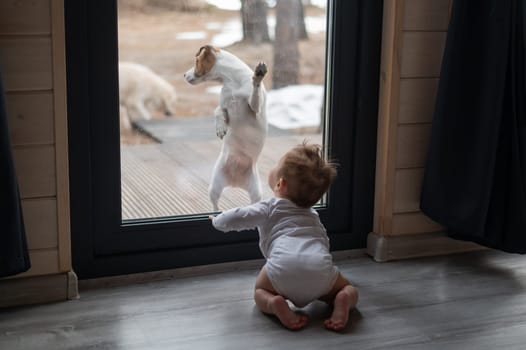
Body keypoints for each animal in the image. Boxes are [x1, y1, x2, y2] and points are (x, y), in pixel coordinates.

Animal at [185, 45, 268, 212]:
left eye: (196, 61)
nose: (184, 75)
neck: (232, 81)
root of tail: (236, 182)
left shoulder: (255, 109)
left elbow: (255, 94)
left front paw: (258, 76)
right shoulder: (224, 107)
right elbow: (217, 111)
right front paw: (220, 128)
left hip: (256, 192)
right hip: (214, 187)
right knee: (215, 205)